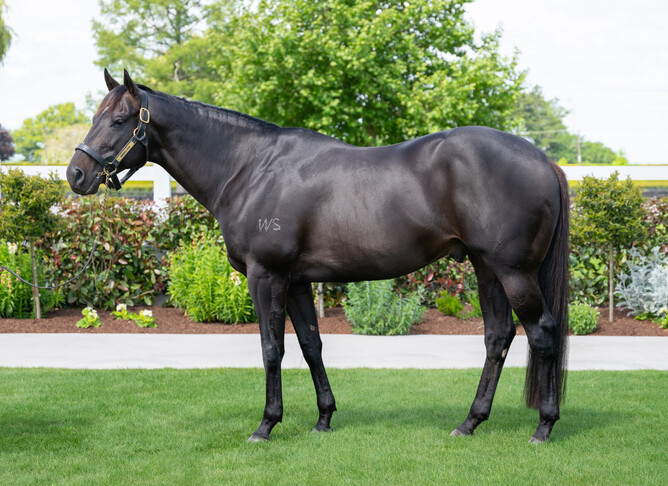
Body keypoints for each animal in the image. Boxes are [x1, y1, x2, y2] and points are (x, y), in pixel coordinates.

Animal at [67, 70, 569, 444]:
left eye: (118, 120)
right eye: (96, 115)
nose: (76, 173)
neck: (249, 168)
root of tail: (544, 161)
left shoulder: (266, 276)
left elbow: (272, 349)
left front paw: (266, 425)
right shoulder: (296, 280)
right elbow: (311, 345)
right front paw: (324, 418)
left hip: (513, 272)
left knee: (542, 333)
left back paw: (543, 427)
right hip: (487, 268)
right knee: (498, 337)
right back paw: (469, 422)